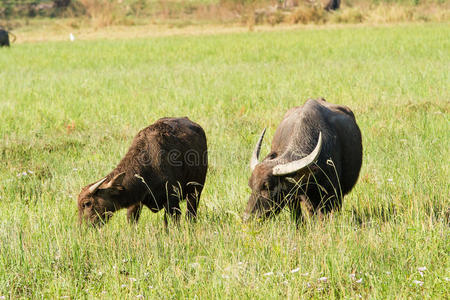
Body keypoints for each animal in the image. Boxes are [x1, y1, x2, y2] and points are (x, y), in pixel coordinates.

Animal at [78, 116, 208, 225]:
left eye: (87, 203)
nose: (83, 226)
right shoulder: (135, 202)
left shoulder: (172, 199)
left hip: (195, 191)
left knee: (191, 214)